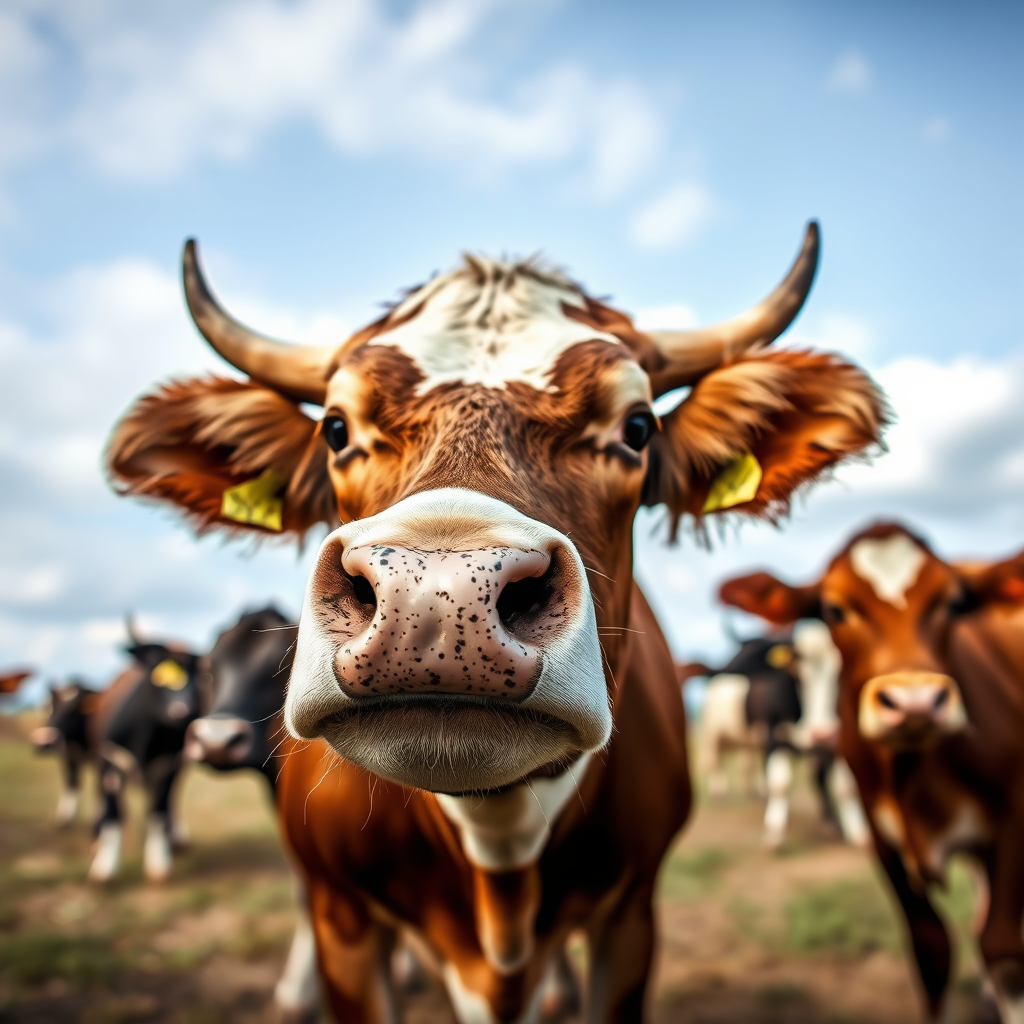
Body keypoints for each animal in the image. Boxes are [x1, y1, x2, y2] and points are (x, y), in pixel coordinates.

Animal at [30, 678, 103, 827]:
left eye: (74, 710)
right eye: (48, 708)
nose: (44, 742)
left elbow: (98, 787)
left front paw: (97, 819)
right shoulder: (67, 756)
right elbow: (71, 781)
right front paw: (64, 817)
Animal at [105, 222, 886, 1021]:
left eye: (637, 427)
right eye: (334, 429)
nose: (434, 599)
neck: (496, 847)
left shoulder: (631, 917)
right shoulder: (341, 918)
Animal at [719, 522, 1024, 1023]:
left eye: (953, 603)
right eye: (835, 609)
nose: (915, 704)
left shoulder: (1011, 826)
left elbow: (1003, 950)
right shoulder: (886, 846)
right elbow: (932, 952)